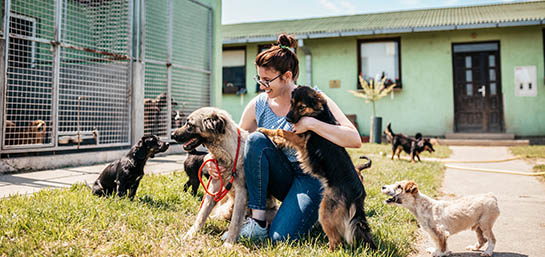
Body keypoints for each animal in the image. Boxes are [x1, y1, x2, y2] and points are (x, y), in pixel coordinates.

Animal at [258, 85, 376, 250]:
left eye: (301, 107)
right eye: (291, 103)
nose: (287, 119)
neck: (317, 113)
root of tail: (358, 194)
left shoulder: (301, 138)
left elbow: (282, 131)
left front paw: (265, 130)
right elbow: (284, 135)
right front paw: (276, 140)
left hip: (325, 211)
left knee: (336, 241)